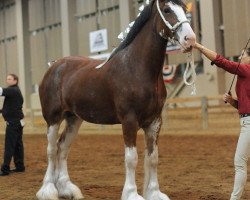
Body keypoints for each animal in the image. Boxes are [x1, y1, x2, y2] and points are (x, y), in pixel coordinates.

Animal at [36, 0, 195, 199]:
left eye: (185, 8)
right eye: (167, 10)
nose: (190, 39)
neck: (137, 68)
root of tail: (55, 66)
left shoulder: (154, 121)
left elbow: (152, 158)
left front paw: (154, 192)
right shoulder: (129, 120)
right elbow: (131, 158)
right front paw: (132, 193)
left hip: (73, 119)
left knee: (62, 147)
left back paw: (66, 189)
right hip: (53, 118)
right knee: (51, 150)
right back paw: (48, 190)